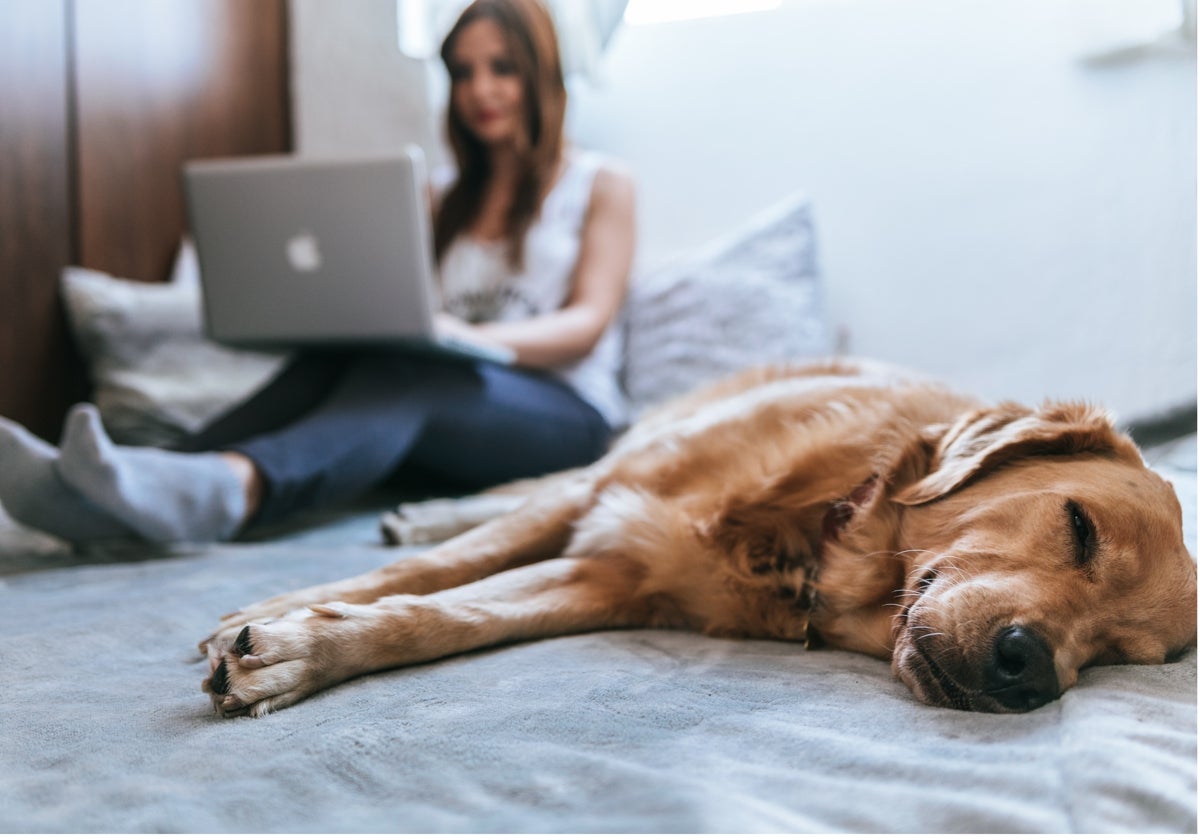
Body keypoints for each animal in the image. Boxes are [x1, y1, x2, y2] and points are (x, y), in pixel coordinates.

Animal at [196, 360, 1190, 715]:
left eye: (1119, 655)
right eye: (1078, 526)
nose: (1032, 670)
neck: (816, 531)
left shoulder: (606, 579)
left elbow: (445, 616)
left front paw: (299, 651)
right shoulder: (607, 498)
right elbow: (444, 567)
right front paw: (282, 612)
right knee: (516, 494)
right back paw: (422, 509)